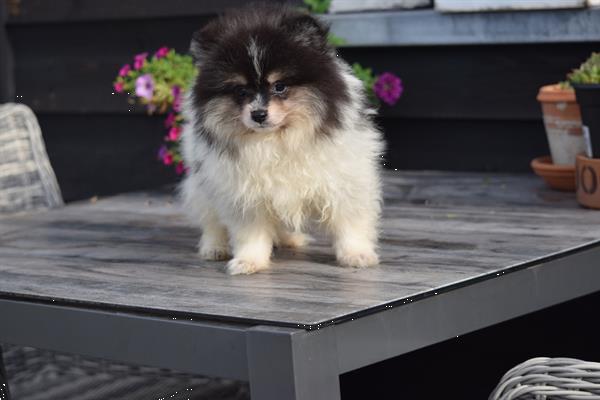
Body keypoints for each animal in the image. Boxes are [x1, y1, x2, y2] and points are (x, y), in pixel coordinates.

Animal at [179, 3, 384, 276]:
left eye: (279, 86)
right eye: (240, 91)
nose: (258, 114)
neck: (278, 139)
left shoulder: (344, 179)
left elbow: (349, 221)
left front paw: (356, 255)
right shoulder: (242, 192)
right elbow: (250, 232)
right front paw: (249, 261)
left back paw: (290, 239)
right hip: (203, 180)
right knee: (211, 218)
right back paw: (214, 248)